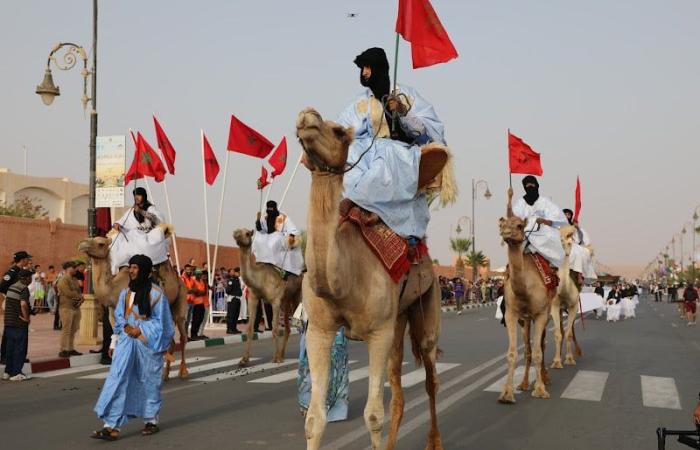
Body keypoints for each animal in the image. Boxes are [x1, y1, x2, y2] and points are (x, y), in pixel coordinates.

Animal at [77, 229, 189, 380]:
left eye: (100, 243)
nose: (81, 245)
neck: (114, 288)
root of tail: (180, 280)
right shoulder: (113, 312)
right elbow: (118, 336)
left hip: (181, 300)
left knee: (182, 336)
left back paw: (183, 372)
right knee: (170, 340)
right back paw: (164, 375)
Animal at [234, 229, 302, 366]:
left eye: (247, 233)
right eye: (237, 231)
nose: (236, 235)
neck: (259, 279)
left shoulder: (275, 301)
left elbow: (274, 328)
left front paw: (276, 359)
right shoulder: (253, 298)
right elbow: (250, 329)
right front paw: (244, 359)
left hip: (297, 295)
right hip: (286, 301)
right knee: (288, 328)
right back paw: (282, 354)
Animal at [296, 108, 442, 450]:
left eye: (337, 131)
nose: (307, 116)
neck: (346, 276)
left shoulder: (377, 333)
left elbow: (373, 415)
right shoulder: (320, 330)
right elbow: (314, 419)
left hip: (428, 303)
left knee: (430, 378)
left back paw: (434, 442)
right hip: (397, 320)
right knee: (398, 389)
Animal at [498, 190, 556, 404]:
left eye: (519, 226)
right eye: (502, 224)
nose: (505, 232)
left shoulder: (540, 314)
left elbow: (539, 352)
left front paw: (539, 390)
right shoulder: (512, 315)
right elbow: (514, 354)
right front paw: (507, 394)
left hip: (546, 313)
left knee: (542, 344)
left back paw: (545, 378)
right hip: (525, 320)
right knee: (529, 349)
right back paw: (523, 383)